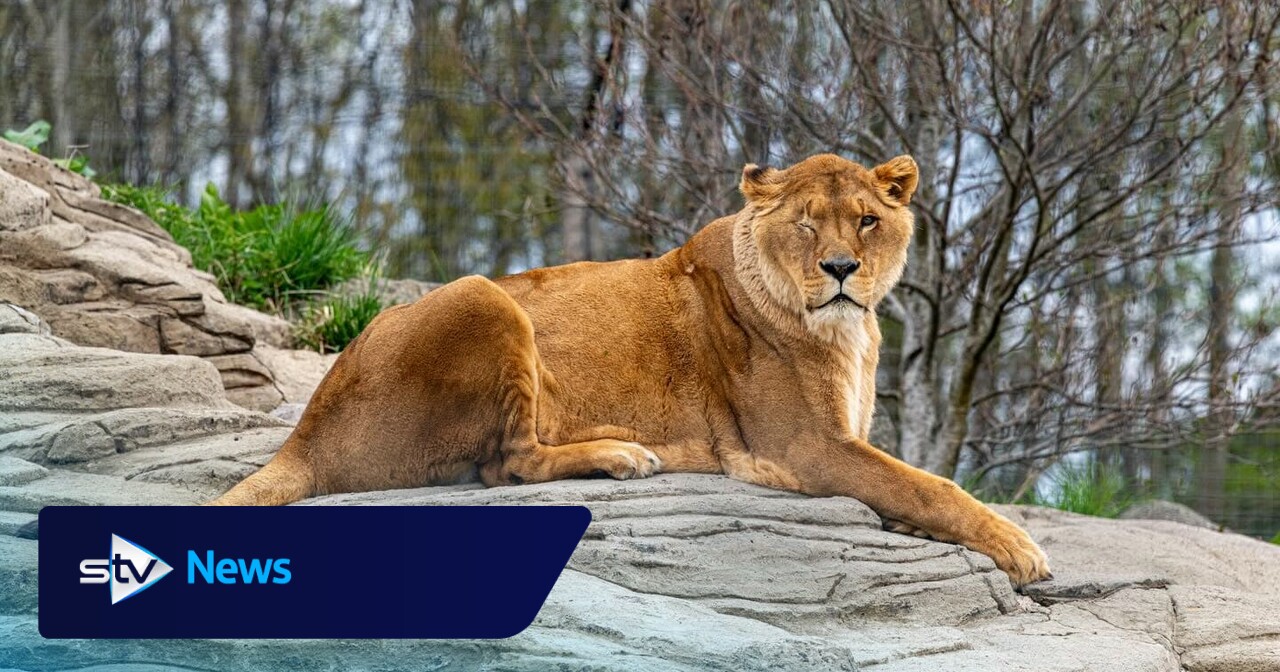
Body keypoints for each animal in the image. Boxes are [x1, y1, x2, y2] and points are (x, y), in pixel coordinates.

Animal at [212, 154, 1051, 587]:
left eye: (869, 220)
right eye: (807, 224)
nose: (841, 268)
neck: (846, 326)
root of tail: (305, 433)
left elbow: (910, 487)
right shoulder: (802, 447)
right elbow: (928, 484)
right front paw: (1021, 550)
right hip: (485, 297)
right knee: (508, 465)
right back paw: (622, 455)